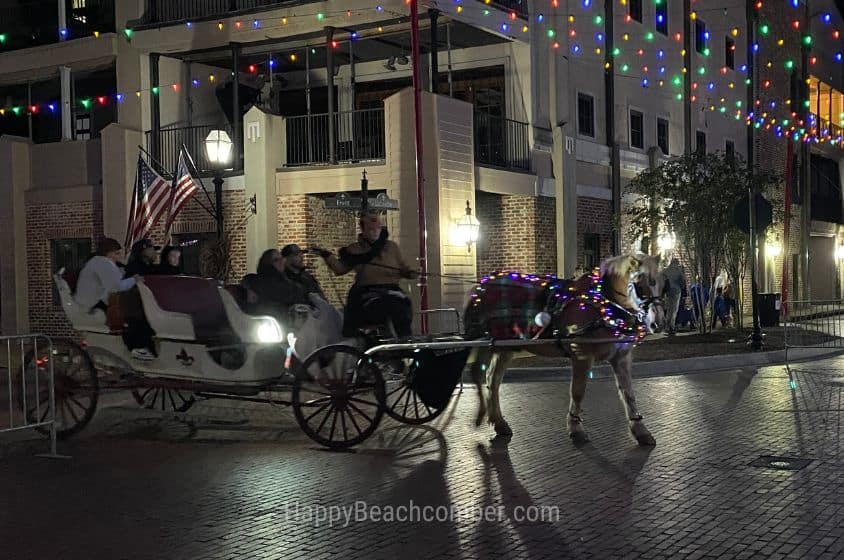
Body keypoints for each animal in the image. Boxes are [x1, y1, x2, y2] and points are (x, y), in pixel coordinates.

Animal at [462, 254, 664, 446]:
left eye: (661, 283)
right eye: (639, 284)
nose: (657, 323)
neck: (601, 304)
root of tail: (481, 285)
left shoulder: (621, 356)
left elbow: (628, 393)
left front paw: (641, 431)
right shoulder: (581, 353)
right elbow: (578, 391)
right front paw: (576, 428)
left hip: (504, 347)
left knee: (493, 379)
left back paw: (499, 423)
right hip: (484, 342)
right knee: (478, 373)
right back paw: (481, 415)